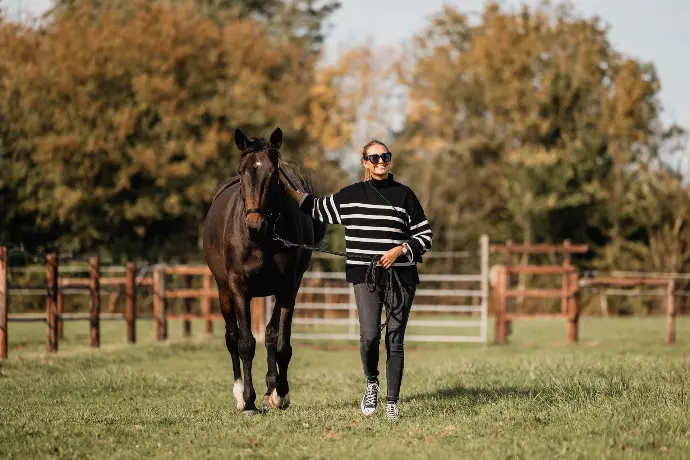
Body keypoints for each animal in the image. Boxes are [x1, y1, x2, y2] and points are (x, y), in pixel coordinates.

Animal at [202, 127, 326, 415]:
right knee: (232, 338)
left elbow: (280, 344)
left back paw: (271, 389)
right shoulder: (238, 287)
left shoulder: (288, 288)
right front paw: (248, 401)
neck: (266, 240)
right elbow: (245, 344)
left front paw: (280, 393)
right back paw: (239, 394)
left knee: (270, 335)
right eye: (241, 172)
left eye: (273, 173)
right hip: (223, 290)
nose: (254, 226)